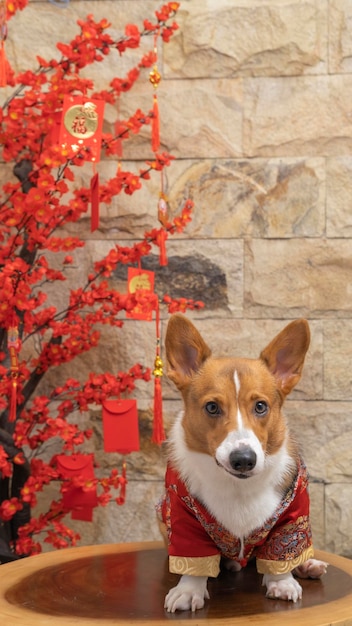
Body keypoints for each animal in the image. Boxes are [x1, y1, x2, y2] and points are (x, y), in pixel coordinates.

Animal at [158, 312, 328, 608]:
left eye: (260, 406)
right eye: (212, 407)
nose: (244, 460)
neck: (238, 486)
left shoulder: (293, 514)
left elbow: (281, 553)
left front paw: (282, 583)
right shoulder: (182, 516)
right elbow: (193, 561)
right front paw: (188, 591)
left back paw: (308, 565)